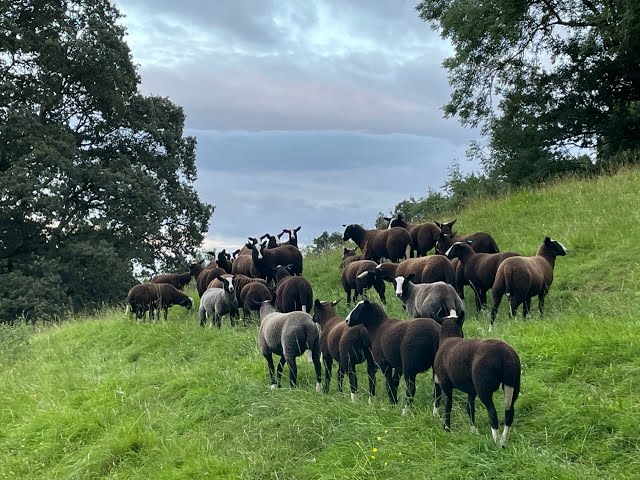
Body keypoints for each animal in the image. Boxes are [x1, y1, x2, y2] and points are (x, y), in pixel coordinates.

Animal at [432, 316, 524, 446]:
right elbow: (470, 408)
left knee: (492, 412)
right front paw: (473, 430)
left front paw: (447, 428)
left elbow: (448, 406)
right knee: (509, 412)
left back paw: (496, 441)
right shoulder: (471, 390)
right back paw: (504, 439)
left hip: (483, 387)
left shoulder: (445, 383)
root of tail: (505, 354)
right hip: (514, 384)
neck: (448, 338)